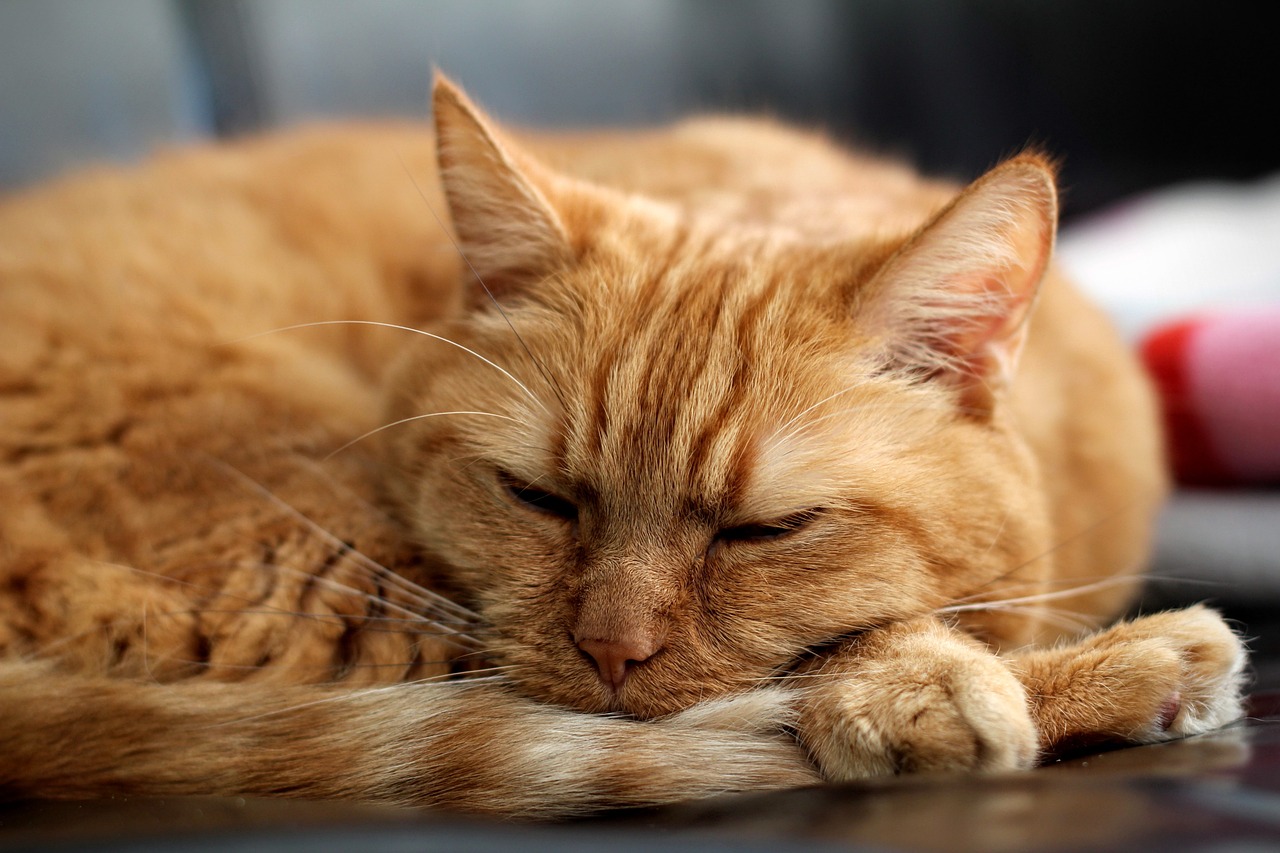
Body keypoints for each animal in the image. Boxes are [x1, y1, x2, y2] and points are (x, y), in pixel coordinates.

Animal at [0, 76, 1244, 814]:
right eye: (538, 497)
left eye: (763, 530)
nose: (610, 652)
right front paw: (925, 684)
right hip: (328, 573)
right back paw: (1135, 665)